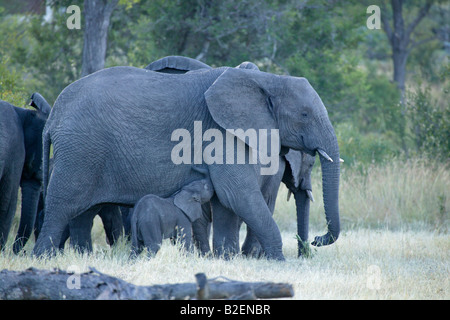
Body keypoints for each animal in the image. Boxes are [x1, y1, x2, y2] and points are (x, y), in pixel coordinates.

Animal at [33, 63, 340, 258]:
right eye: (304, 115)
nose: (317, 240)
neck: (269, 79)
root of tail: (53, 116)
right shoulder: (220, 133)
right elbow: (238, 195)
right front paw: (278, 262)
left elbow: (227, 202)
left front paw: (227, 260)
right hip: (80, 152)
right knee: (61, 206)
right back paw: (43, 259)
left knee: (82, 213)